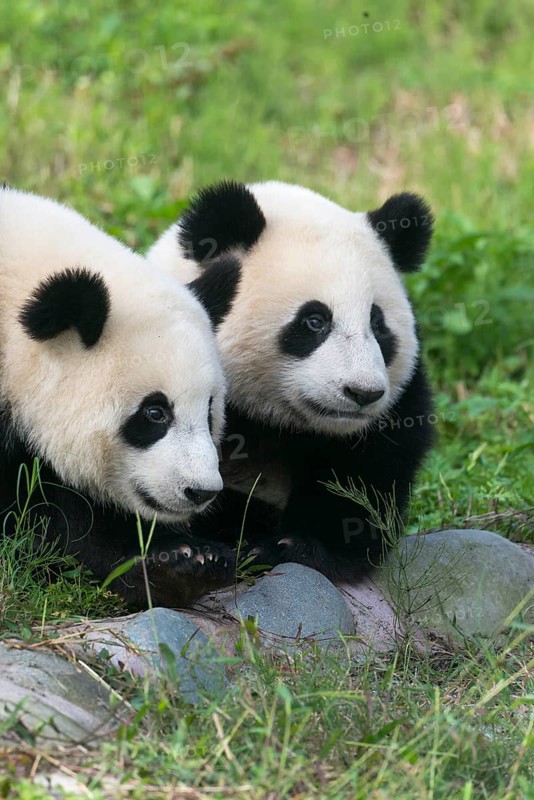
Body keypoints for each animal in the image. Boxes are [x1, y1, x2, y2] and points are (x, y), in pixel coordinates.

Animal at [147, 180, 435, 582]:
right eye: (314, 321)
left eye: (379, 326)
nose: (362, 393)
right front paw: (192, 551)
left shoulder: (393, 407)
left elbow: (366, 471)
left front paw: (292, 545)